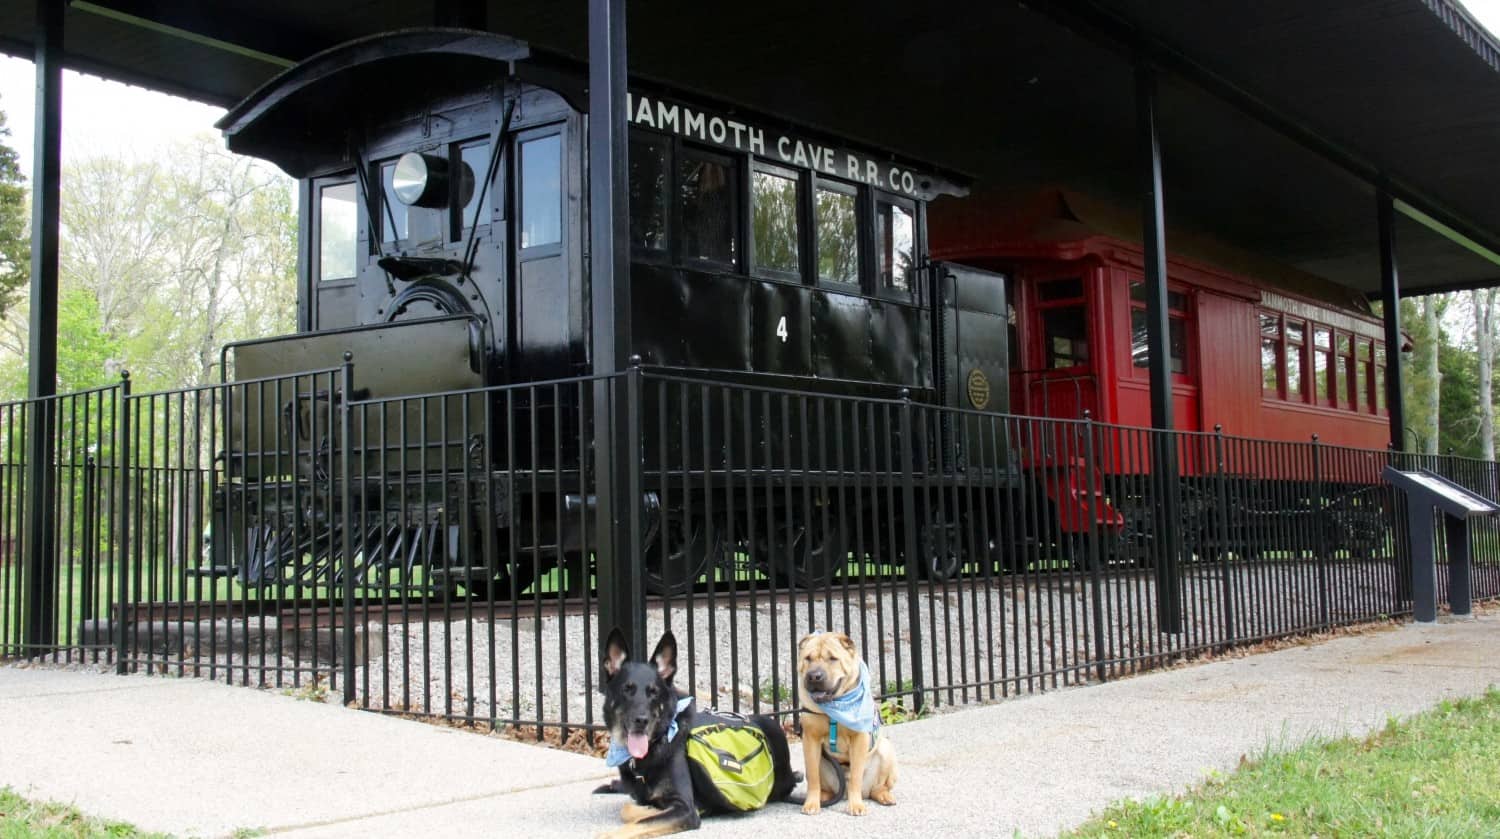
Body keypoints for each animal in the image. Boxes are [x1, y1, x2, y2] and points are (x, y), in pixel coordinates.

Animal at [594, 630, 798, 834]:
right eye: (626, 690)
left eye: (654, 692)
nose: (641, 720)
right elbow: (629, 808)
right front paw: (647, 809)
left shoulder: (685, 809)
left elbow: (634, 821)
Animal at [798, 633, 900, 816]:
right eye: (808, 658)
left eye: (833, 658)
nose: (814, 676)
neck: (835, 707)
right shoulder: (810, 739)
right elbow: (813, 777)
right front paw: (811, 804)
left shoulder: (859, 739)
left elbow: (855, 776)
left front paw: (856, 806)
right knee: (824, 786)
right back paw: (823, 797)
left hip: (886, 750)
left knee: (877, 788)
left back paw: (884, 796)